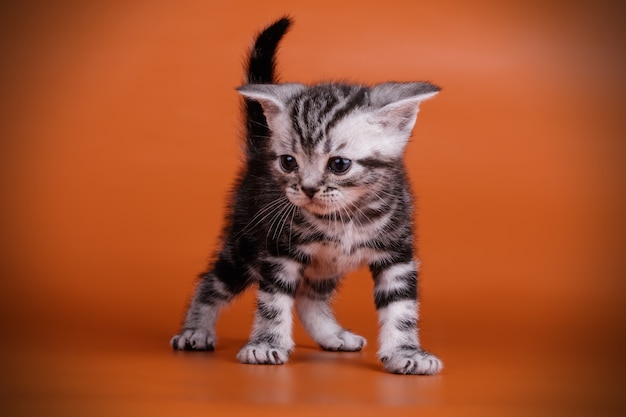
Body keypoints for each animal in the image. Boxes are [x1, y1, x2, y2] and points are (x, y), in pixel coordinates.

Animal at [171, 17, 442, 374]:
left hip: (323, 265)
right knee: (211, 281)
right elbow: (273, 302)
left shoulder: (397, 254)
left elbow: (401, 308)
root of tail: (259, 152)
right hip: (246, 244)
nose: (309, 188)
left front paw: (406, 351)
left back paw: (332, 335)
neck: (344, 217)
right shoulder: (280, 252)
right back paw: (195, 330)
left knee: (308, 298)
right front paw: (266, 344)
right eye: (289, 162)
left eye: (339, 164)